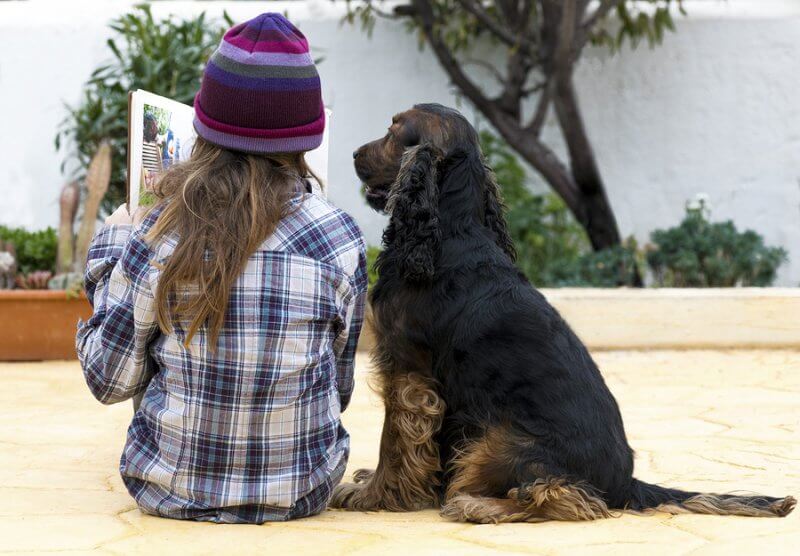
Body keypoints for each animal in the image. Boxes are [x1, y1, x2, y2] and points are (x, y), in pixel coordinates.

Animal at [328, 103, 796, 520]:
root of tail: (625, 483)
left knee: (569, 497)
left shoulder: (408, 371)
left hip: (500, 439)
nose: (352, 154)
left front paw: (374, 495)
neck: (450, 230)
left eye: (393, 132)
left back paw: (478, 505)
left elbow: (395, 440)